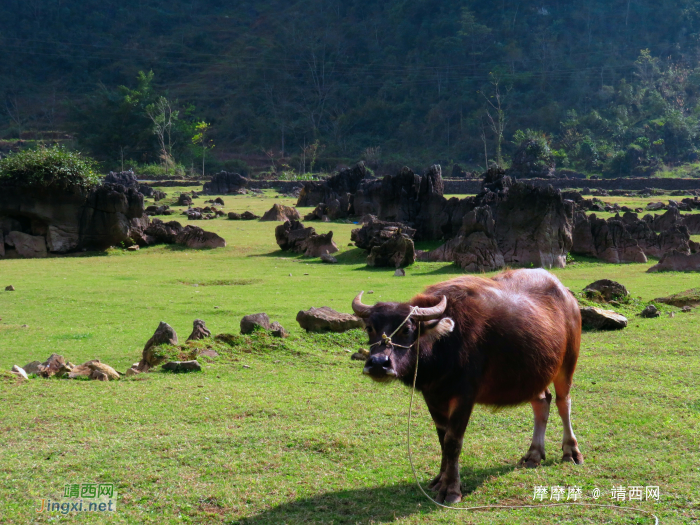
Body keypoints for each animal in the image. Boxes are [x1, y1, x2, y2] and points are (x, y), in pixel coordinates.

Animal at [350, 268, 584, 502]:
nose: (378, 364)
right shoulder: (432, 395)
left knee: (563, 402)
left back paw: (571, 452)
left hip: (567, 363)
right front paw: (440, 479)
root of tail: (568, 298)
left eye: (407, 329)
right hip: (534, 373)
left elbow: (453, 441)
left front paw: (451, 489)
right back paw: (533, 454)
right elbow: (442, 439)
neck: (443, 345)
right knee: (542, 402)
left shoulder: (464, 397)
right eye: (369, 328)